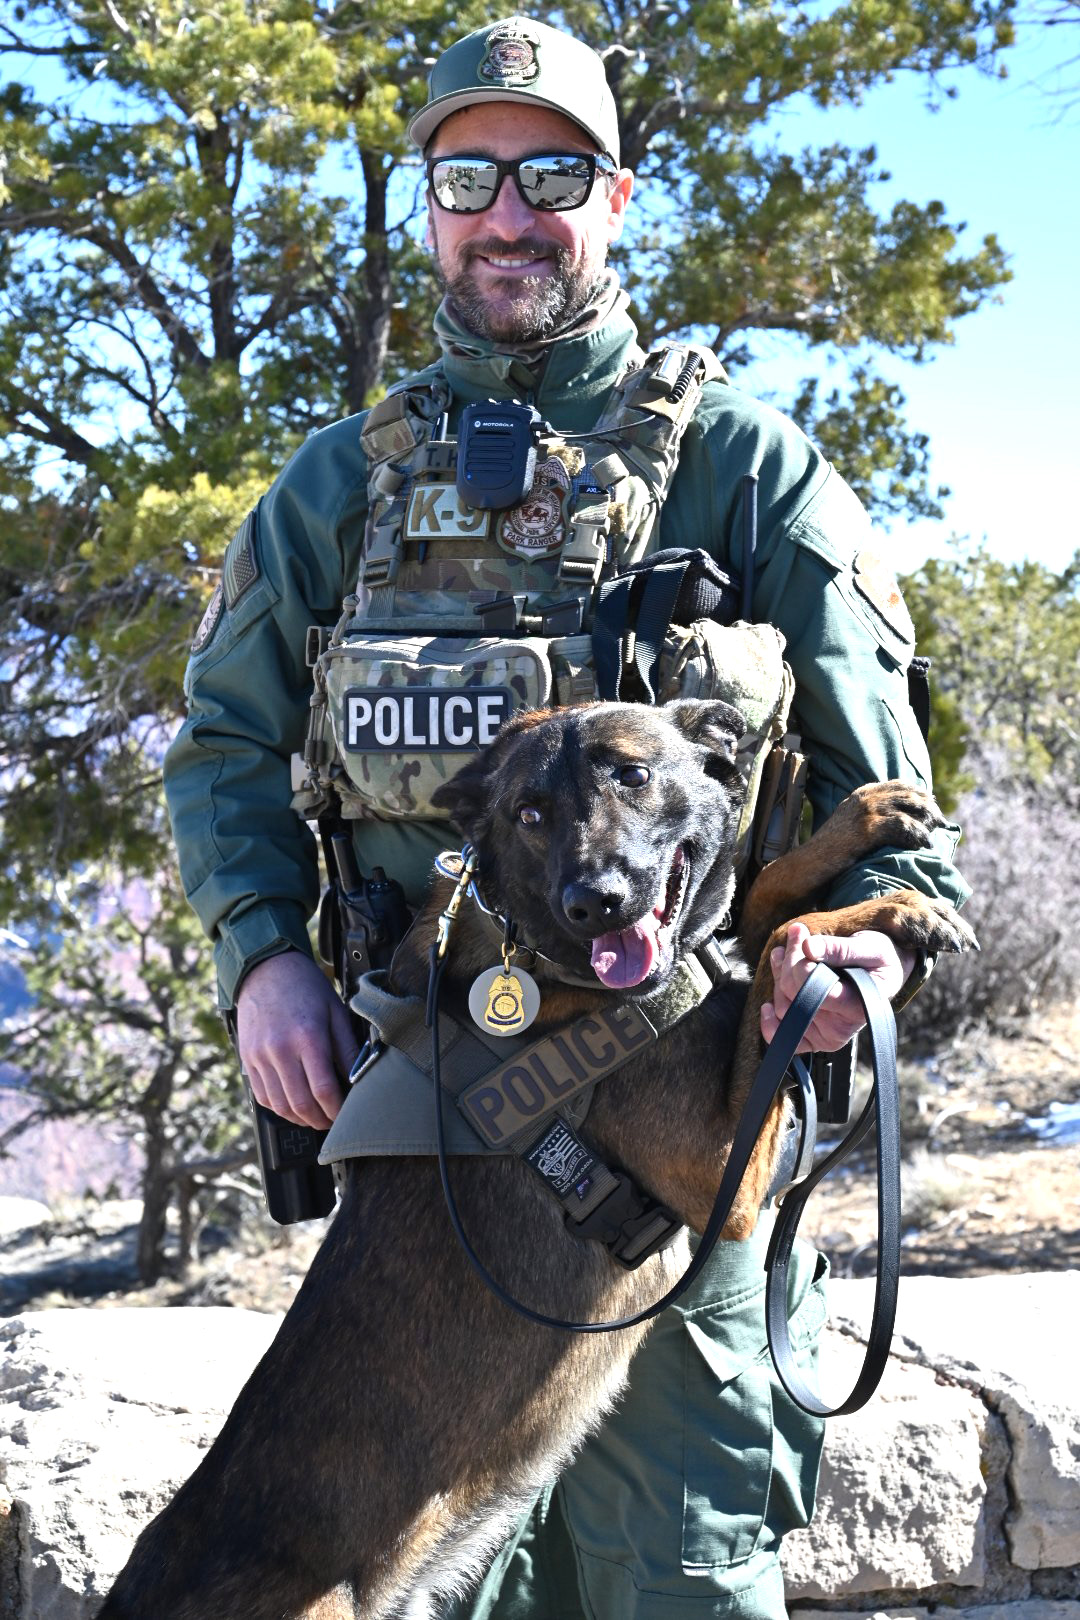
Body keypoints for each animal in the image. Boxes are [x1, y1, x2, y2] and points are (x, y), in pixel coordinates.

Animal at [99, 699, 977, 1620]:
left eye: (633, 774)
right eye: (528, 813)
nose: (596, 901)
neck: (527, 940)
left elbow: (757, 906)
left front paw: (864, 825)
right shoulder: (722, 1182)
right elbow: (776, 947)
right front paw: (879, 917)